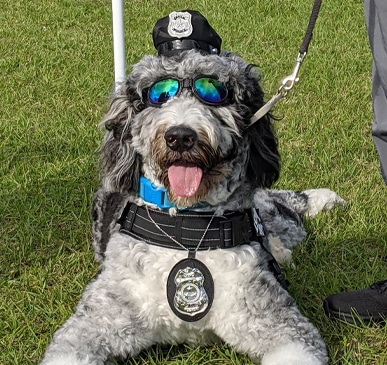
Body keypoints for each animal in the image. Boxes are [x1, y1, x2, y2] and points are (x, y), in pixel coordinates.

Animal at [41, 10, 348, 364]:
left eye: (212, 90)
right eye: (157, 94)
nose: (180, 136)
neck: (187, 226)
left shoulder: (280, 323)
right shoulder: (95, 320)